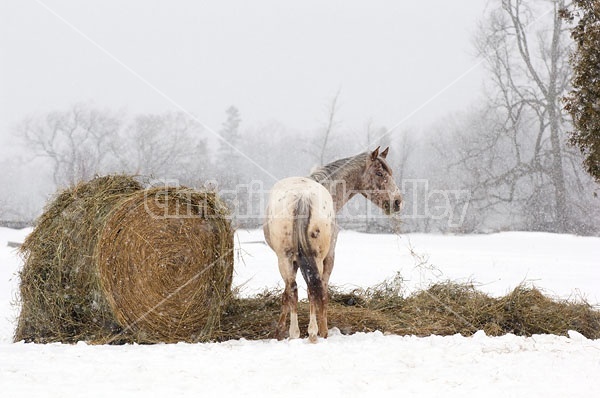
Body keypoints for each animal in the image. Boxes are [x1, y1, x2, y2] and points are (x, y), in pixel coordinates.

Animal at [264, 146, 400, 342]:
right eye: (380, 173)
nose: (397, 202)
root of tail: (303, 197)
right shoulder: (329, 258)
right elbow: (323, 293)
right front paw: (323, 330)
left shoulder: (294, 261)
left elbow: (285, 295)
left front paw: (279, 331)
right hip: (317, 258)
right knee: (313, 290)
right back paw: (314, 333)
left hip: (285, 258)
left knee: (293, 290)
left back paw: (294, 333)